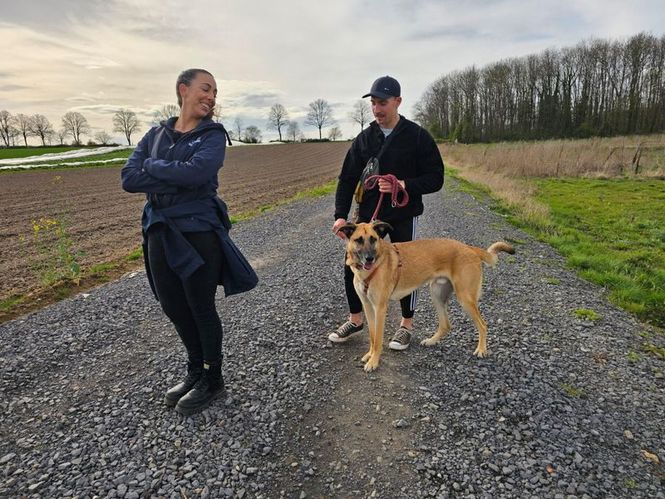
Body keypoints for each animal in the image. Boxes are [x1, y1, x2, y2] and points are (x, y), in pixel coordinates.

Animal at [338, 222, 512, 372]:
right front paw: (369, 355)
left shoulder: (380, 308)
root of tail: (469, 248)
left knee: (483, 325)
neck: (368, 271)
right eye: (359, 240)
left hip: (465, 298)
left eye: (373, 239)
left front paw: (374, 361)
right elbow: (372, 337)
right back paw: (431, 341)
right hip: (437, 294)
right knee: (446, 325)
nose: (369, 258)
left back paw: (481, 349)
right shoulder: (368, 306)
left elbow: (378, 340)